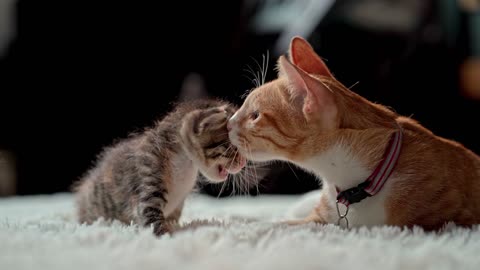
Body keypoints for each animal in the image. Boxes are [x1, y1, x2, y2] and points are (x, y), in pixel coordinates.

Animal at [76, 99, 248, 236]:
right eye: (234, 148)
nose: (244, 162)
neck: (185, 164)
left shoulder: (177, 204)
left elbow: (173, 217)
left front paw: (174, 226)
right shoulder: (148, 178)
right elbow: (152, 219)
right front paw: (166, 235)